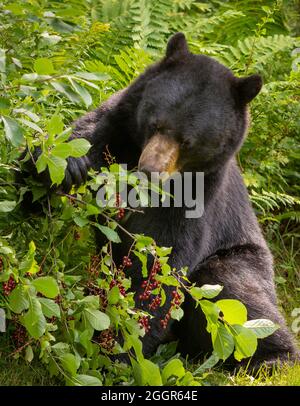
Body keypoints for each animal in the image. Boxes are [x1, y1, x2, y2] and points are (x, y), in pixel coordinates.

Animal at [22, 32, 296, 368]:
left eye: (188, 142)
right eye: (154, 123)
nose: (150, 169)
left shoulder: (195, 200)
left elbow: (159, 262)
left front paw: (122, 351)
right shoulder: (115, 130)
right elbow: (74, 144)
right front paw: (65, 166)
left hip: (244, 260)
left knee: (238, 298)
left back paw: (273, 359)